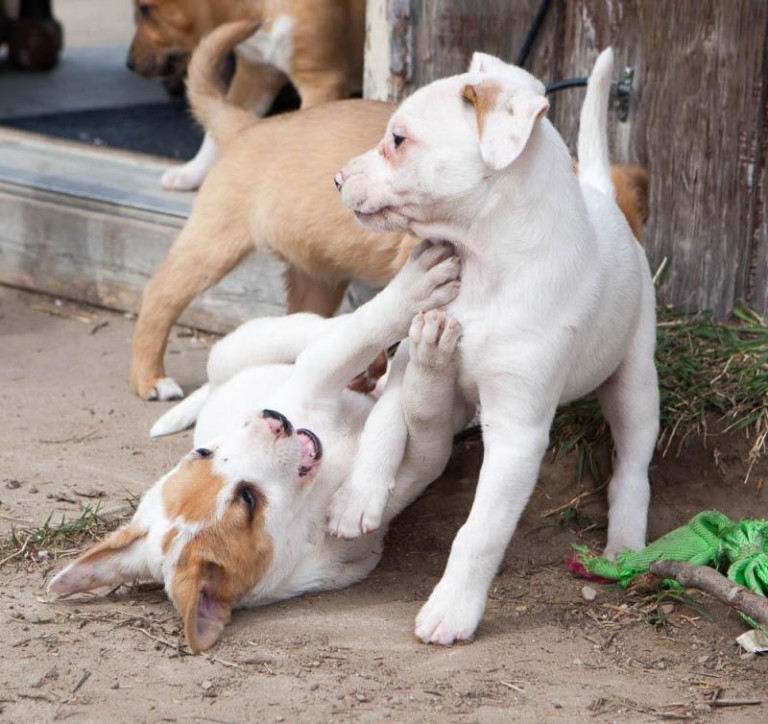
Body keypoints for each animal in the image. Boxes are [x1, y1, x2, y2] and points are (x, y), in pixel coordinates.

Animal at [49, 242, 470, 653]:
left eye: (201, 453)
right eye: (248, 499)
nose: (275, 419)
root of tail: (215, 387)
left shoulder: (312, 381)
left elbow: (355, 340)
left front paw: (415, 306)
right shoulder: (410, 472)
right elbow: (421, 414)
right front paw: (430, 345)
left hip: (242, 349)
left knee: (317, 330)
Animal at [127, 0, 365, 190]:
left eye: (145, 9)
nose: (129, 64)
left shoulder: (322, 81)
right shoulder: (255, 76)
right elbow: (214, 130)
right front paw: (191, 173)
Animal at [329, 48, 660, 645]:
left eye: (398, 139)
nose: (336, 179)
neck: (486, 265)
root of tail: (605, 200)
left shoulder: (517, 433)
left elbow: (479, 532)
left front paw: (452, 610)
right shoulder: (408, 359)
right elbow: (382, 431)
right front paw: (355, 500)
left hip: (636, 381)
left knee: (632, 465)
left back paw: (624, 544)